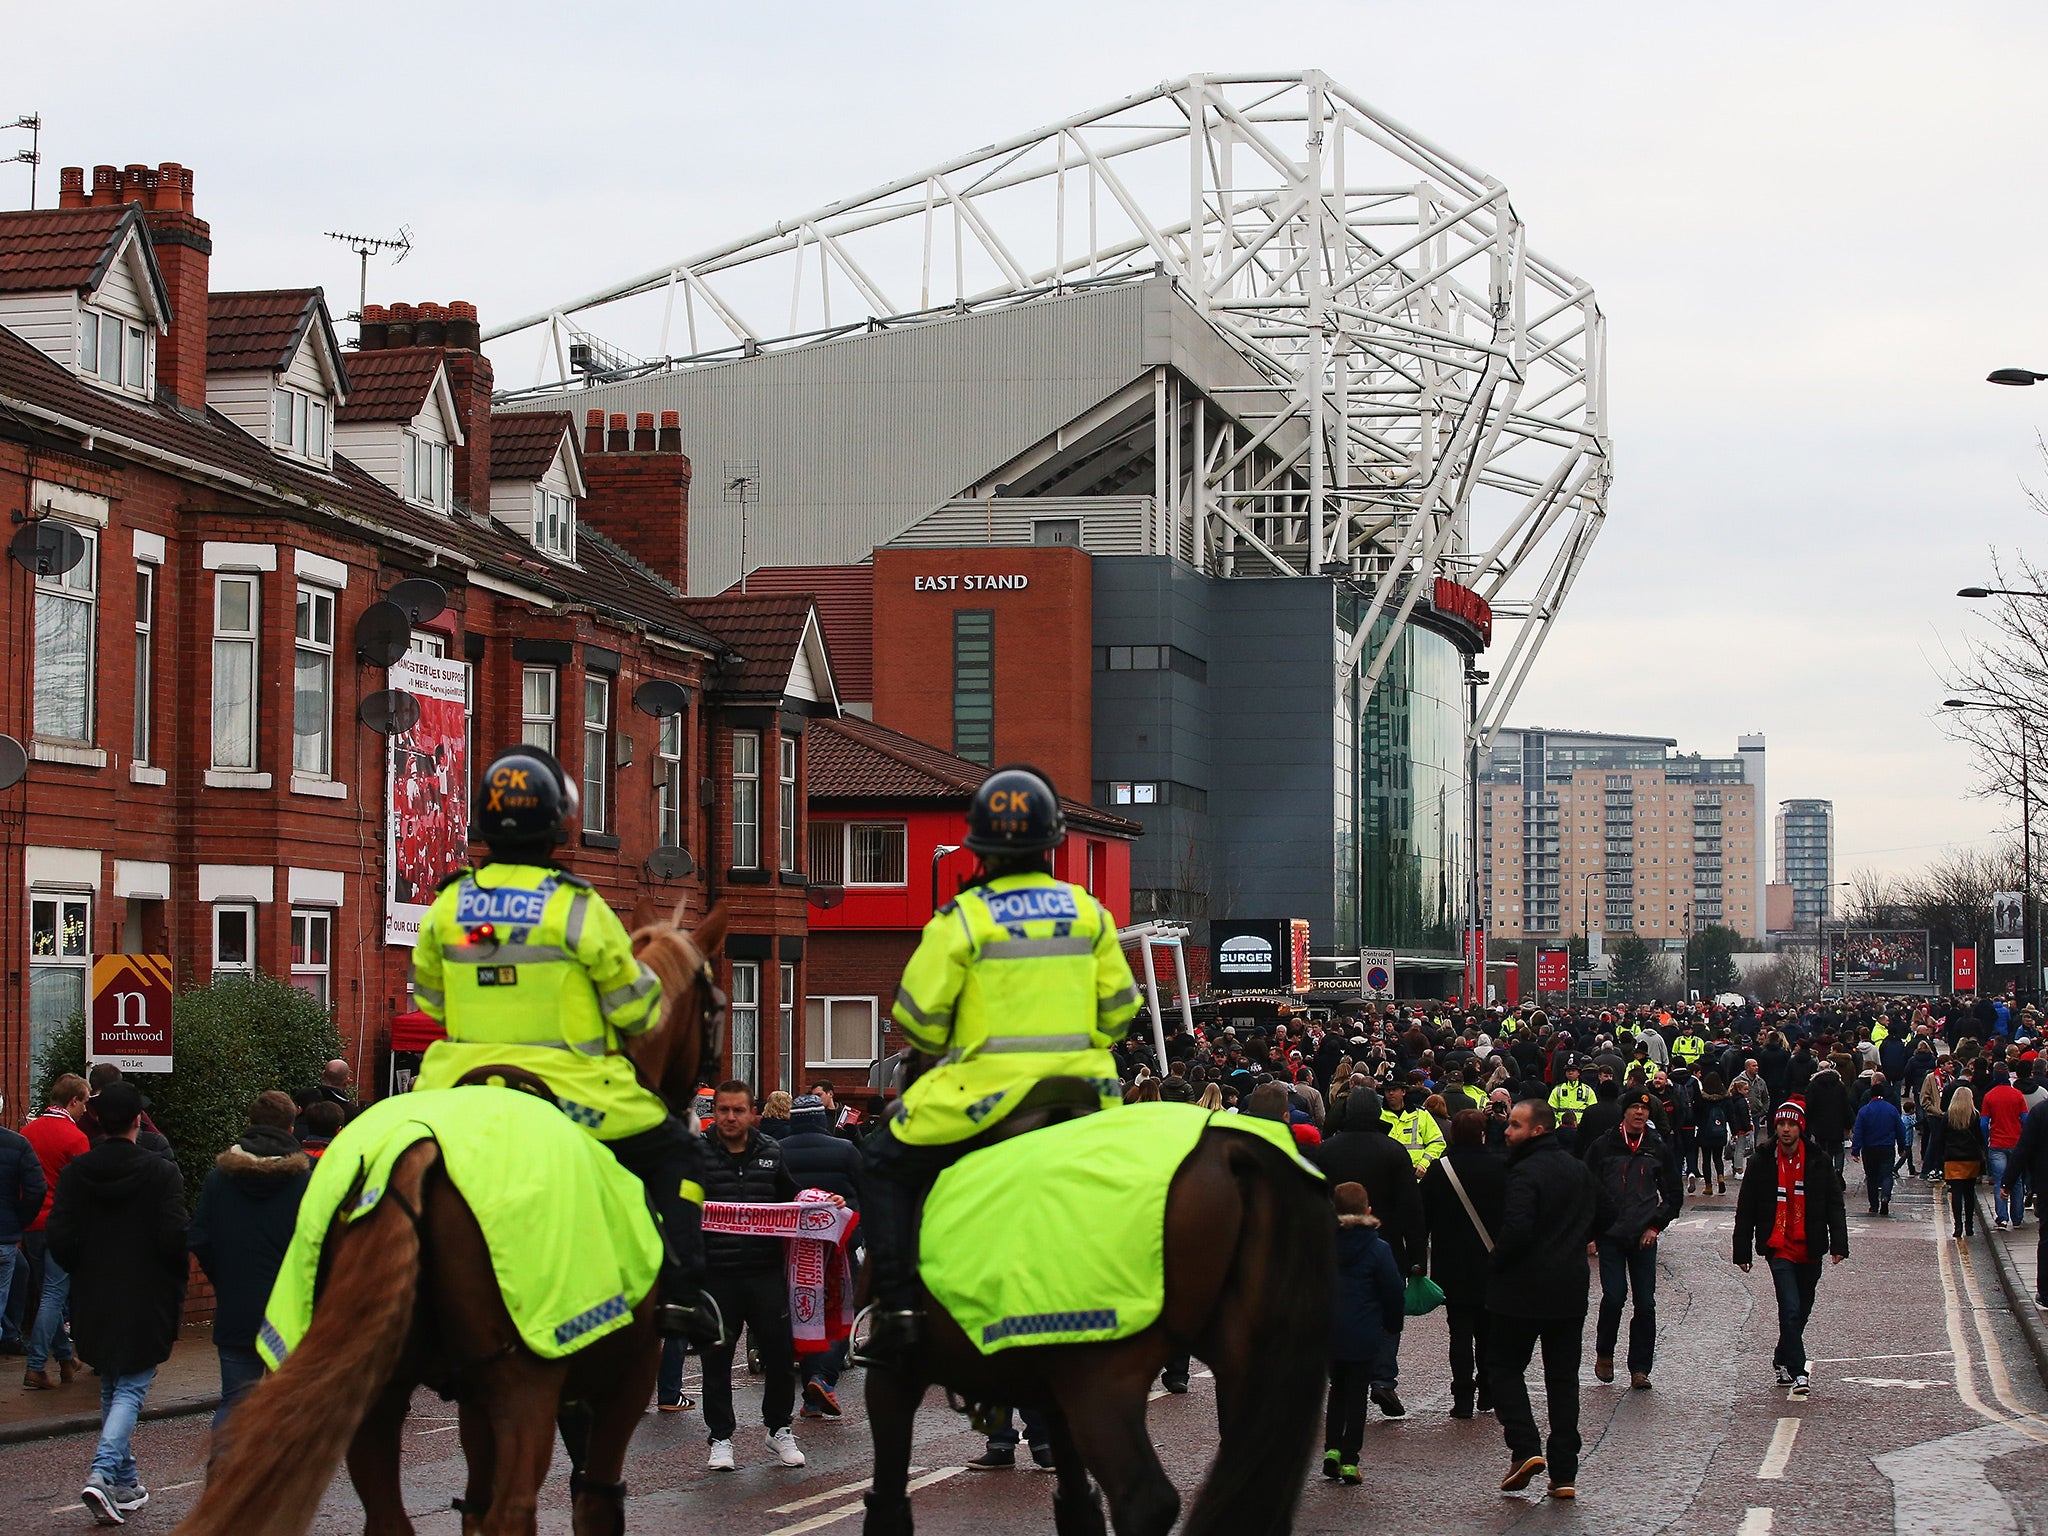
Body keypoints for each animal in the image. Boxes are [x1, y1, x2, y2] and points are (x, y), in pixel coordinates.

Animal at [176, 901, 733, 1536]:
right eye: (715, 1007)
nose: (694, 1106)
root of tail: (417, 1147)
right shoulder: (624, 1380)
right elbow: (594, 1501)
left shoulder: (475, 1400)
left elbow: (476, 1503)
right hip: (524, 1379)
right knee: (514, 1508)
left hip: (383, 1387)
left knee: (391, 1517)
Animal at [860, 1089, 1327, 1531]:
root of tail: (1231, 1150)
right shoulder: (1051, 1389)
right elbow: (1077, 1502)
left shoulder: (894, 1376)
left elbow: (886, 1498)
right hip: (1246, 1369)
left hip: (1102, 1376)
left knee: (1146, 1500)